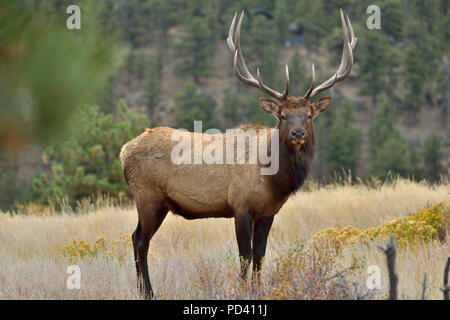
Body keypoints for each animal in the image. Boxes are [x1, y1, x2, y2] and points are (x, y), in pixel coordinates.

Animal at [120, 8, 358, 298]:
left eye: (309, 115)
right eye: (283, 115)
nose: (298, 133)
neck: (273, 180)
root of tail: (124, 150)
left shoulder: (268, 213)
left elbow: (260, 255)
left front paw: (257, 289)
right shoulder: (241, 206)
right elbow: (245, 255)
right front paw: (242, 290)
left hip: (161, 203)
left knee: (137, 238)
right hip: (147, 196)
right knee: (139, 240)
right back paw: (148, 292)